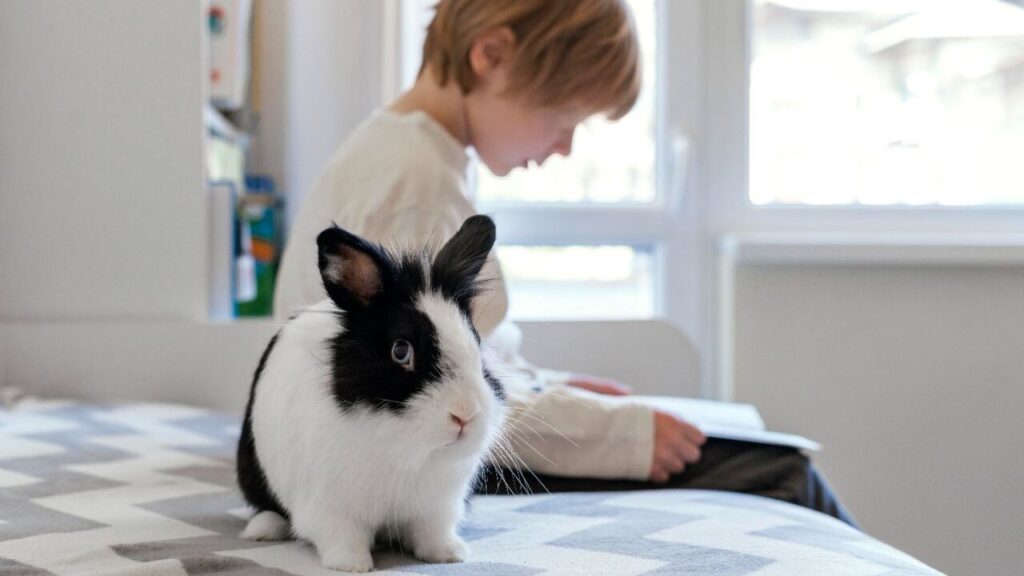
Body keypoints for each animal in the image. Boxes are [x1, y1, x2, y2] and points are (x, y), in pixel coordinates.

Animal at [236, 215, 507, 572]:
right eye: (401, 351)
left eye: (476, 343)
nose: (465, 414)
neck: (404, 449)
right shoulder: (330, 508)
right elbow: (342, 536)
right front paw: (352, 565)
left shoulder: (438, 507)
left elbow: (432, 533)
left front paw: (450, 554)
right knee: (266, 506)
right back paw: (263, 530)